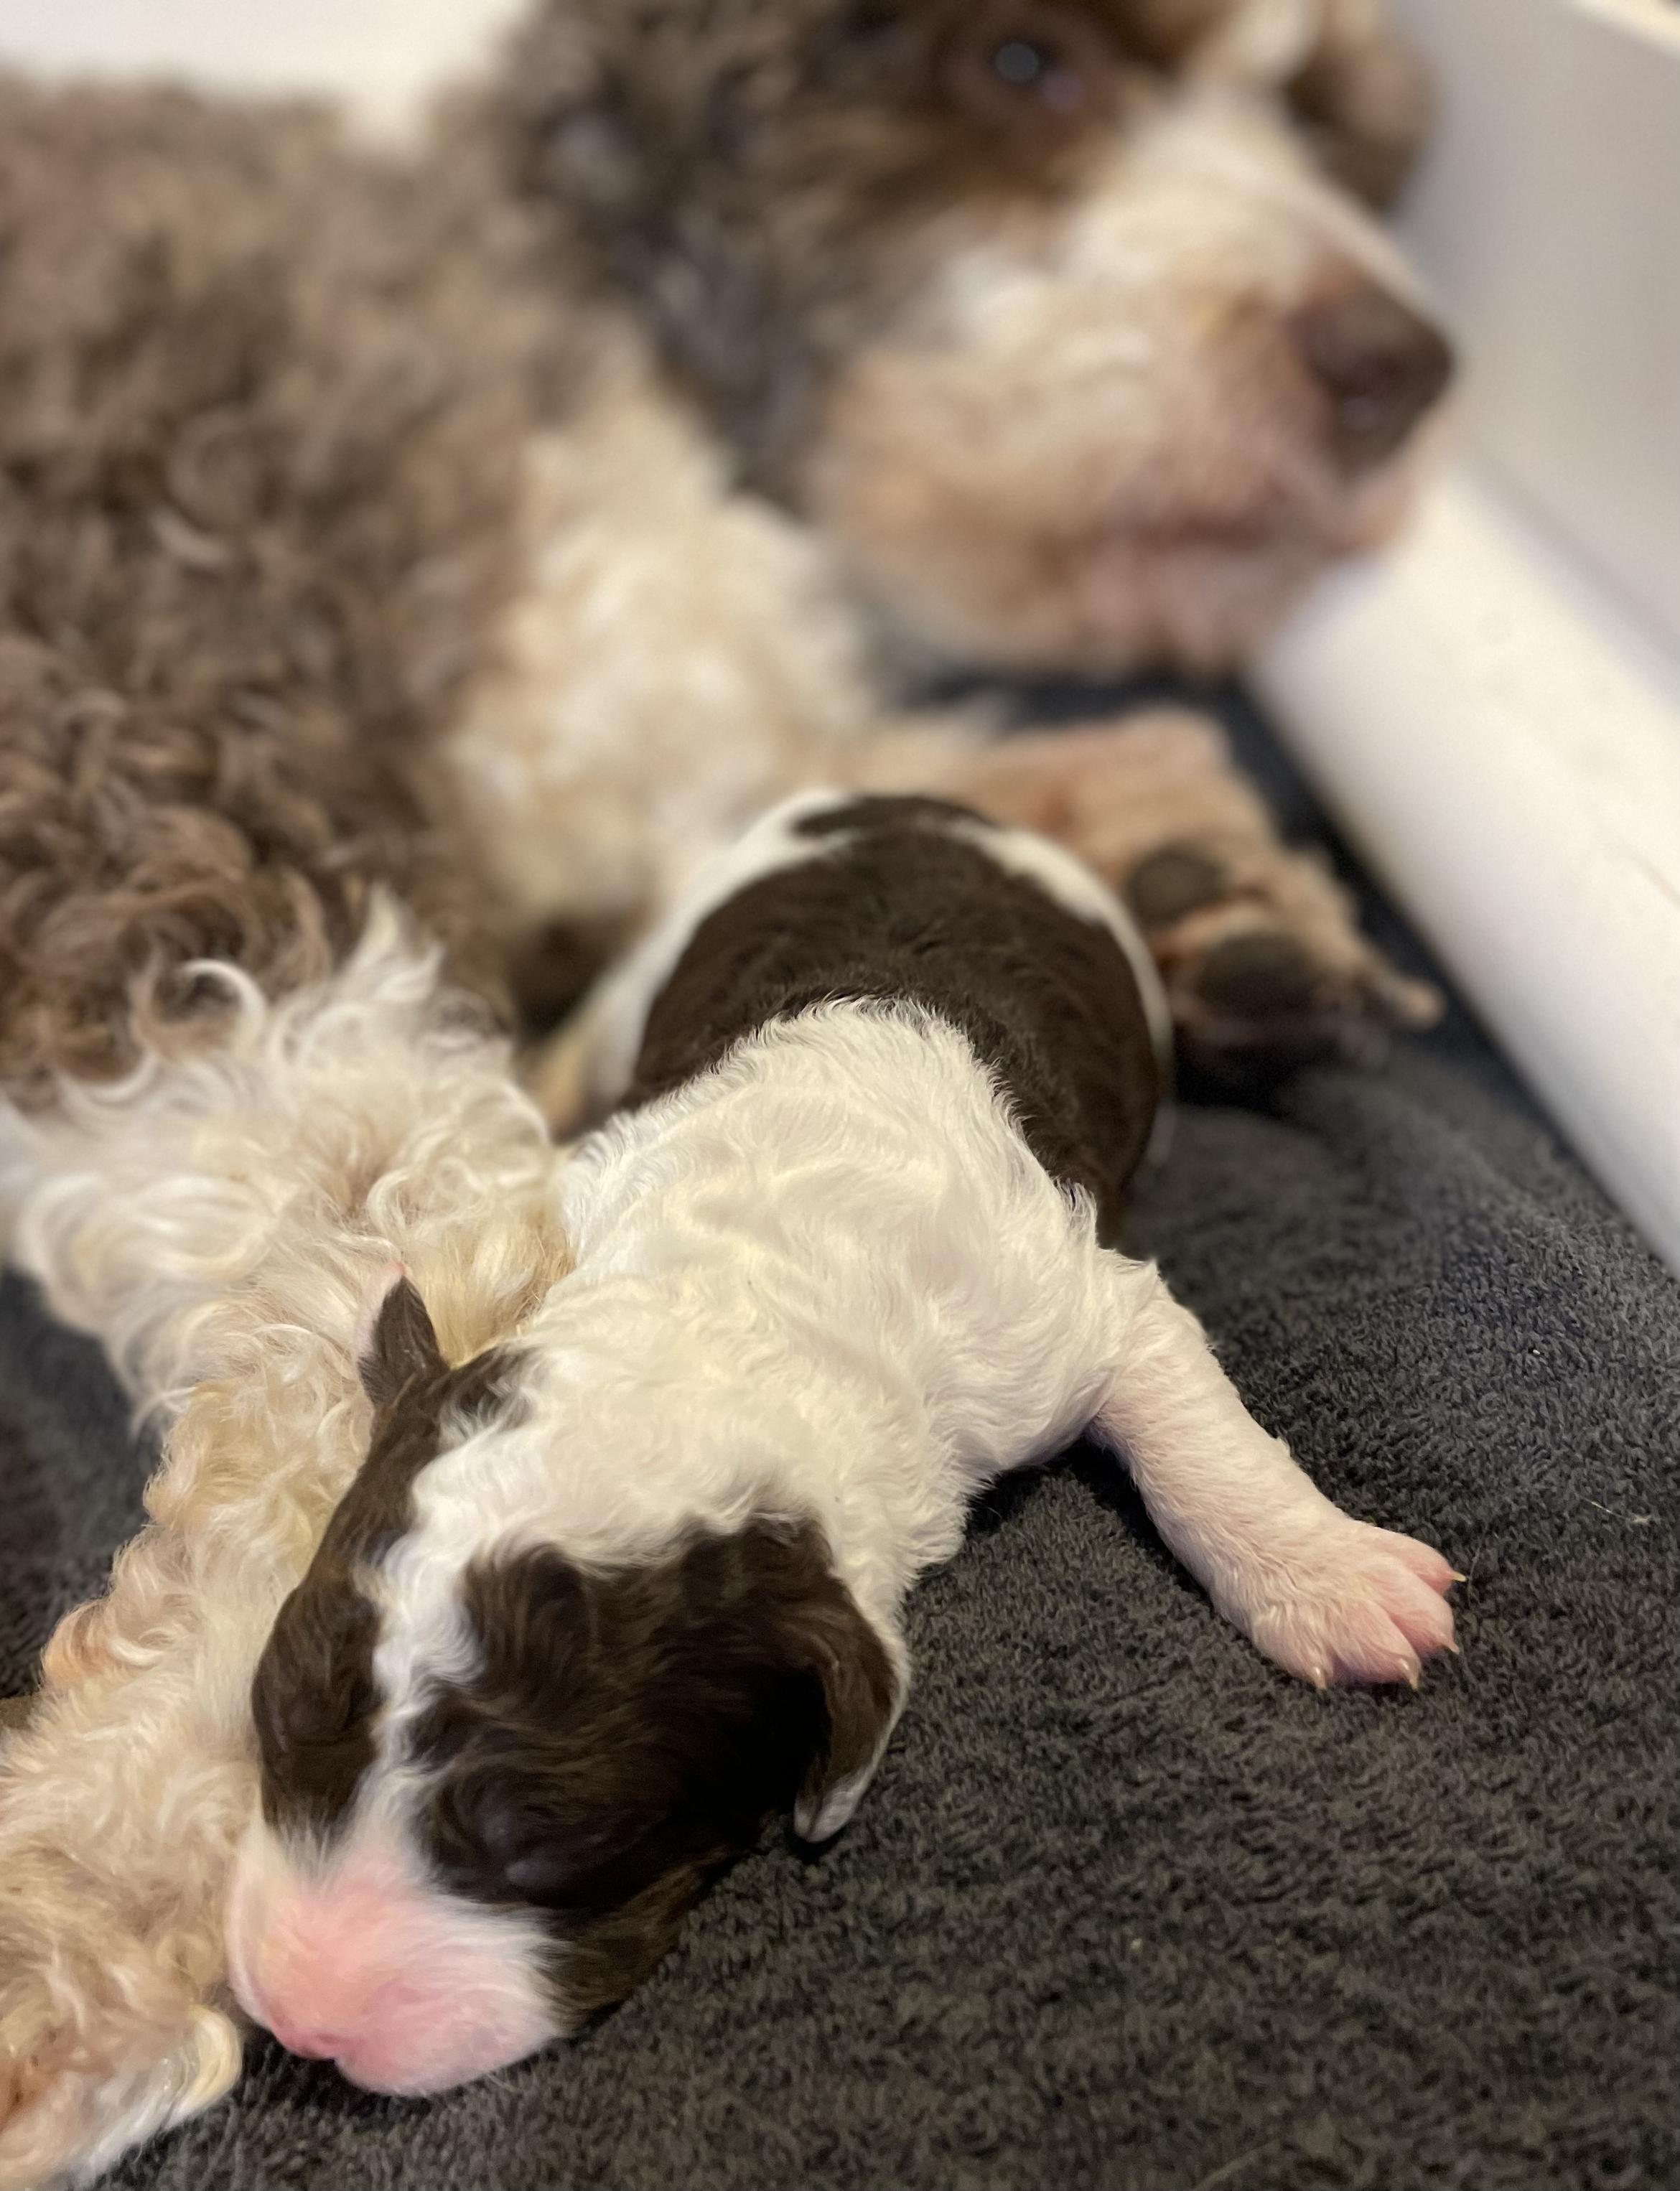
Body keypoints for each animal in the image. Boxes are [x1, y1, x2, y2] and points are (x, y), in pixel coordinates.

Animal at [226, 792, 1457, 2097]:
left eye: (547, 1846)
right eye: (269, 1707)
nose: (302, 2023)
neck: (729, 1297)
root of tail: (921, 803)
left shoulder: (1070, 1314)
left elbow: (1194, 1433)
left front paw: (1332, 1580)